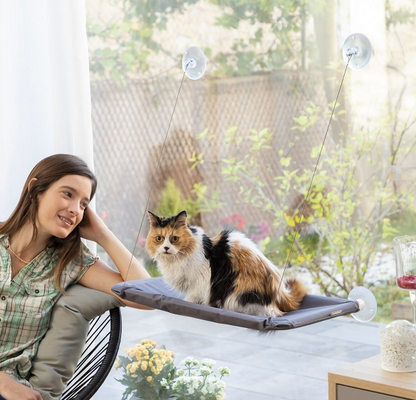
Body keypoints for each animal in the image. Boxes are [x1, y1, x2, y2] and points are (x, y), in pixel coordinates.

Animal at [145, 211, 308, 318]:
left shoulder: (199, 283)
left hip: (235, 296)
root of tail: (280, 292)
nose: (166, 248)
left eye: (174, 239)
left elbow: (191, 299)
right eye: (159, 239)